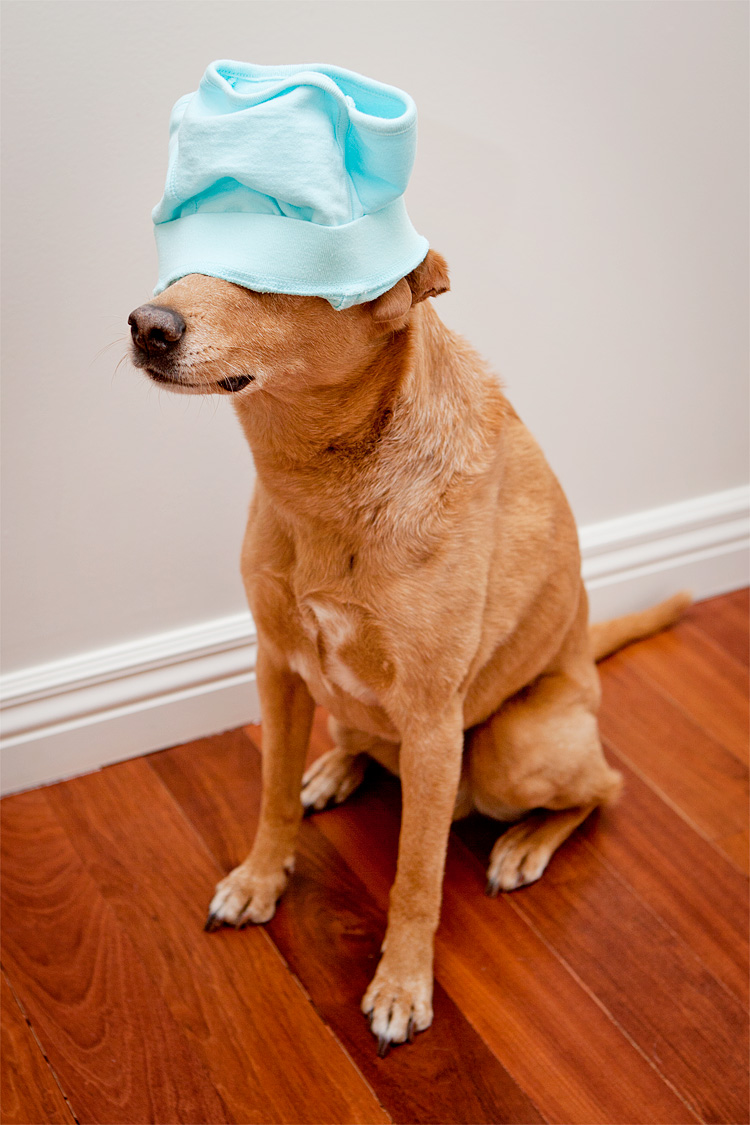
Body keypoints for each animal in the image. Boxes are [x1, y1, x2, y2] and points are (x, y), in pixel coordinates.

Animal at [129, 250, 689, 1053]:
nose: (147, 325)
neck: (319, 481)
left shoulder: (431, 722)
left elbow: (416, 877)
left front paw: (400, 986)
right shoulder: (277, 667)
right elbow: (272, 796)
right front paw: (260, 880)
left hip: (513, 748)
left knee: (603, 789)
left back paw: (524, 844)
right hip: (345, 709)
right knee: (352, 743)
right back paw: (334, 769)